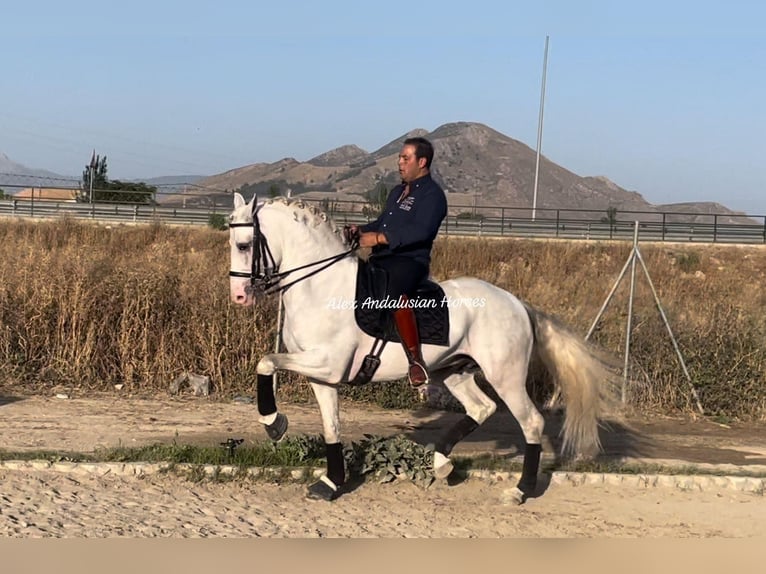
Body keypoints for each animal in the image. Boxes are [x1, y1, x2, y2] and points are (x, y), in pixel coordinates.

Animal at [228, 194, 616, 504]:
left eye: (245, 245)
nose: (239, 296)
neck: (321, 285)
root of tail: (517, 303)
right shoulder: (322, 376)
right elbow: (331, 428)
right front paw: (330, 482)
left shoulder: (327, 364)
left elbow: (265, 363)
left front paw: (273, 424)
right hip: (454, 372)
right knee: (482, 408)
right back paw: (441, 462)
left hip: (505, 376)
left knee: (531, 422)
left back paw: (519, 491)